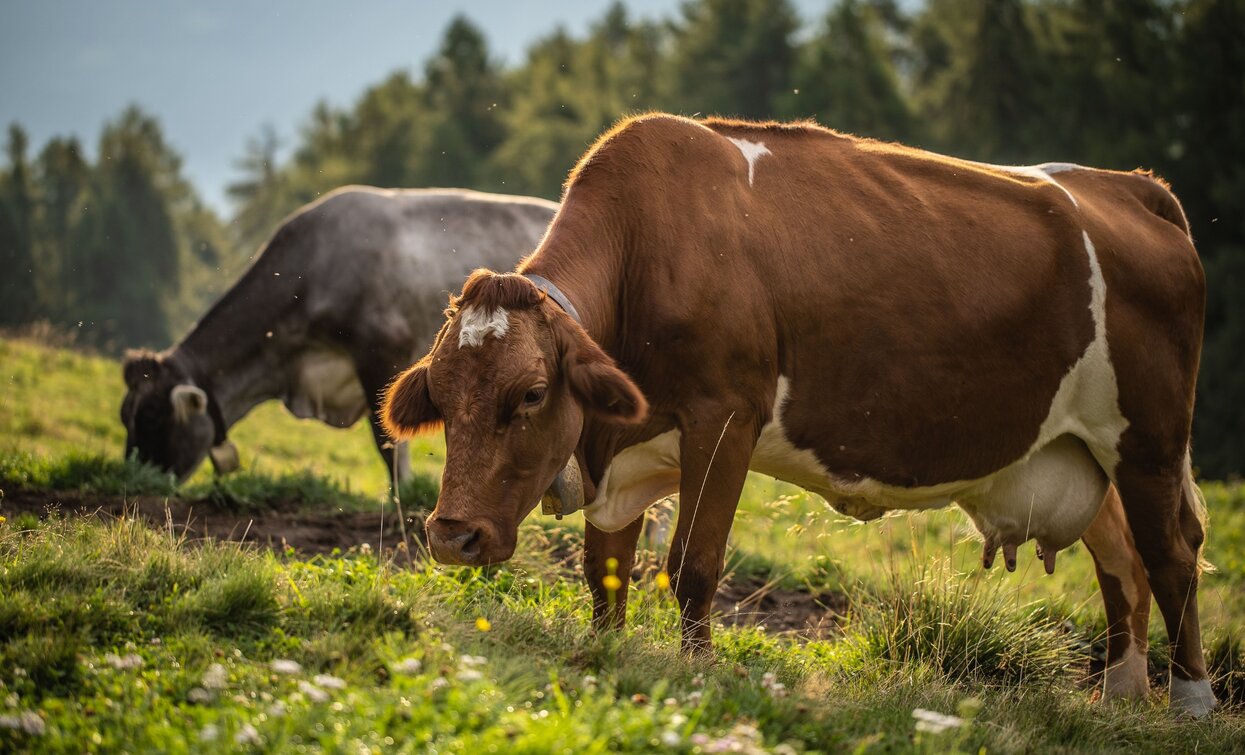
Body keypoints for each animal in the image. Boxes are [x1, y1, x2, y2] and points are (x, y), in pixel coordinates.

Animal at [121, 186, 560, 488]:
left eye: (152, 416)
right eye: (125, 415)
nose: (134, 479)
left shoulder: (383, 353)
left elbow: (388, 443)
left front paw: (403, 501)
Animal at [380, 115, 1215, 717]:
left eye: (527, 394)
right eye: (442, 396)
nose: (451, 536)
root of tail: (1129, 186)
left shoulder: (725, 417)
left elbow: (692, 563)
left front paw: (698, 671)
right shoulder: (621, 452)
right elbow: (605, 570)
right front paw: (605, 654)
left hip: (1148, 438)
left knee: (1171, 551)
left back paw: (1190, 702)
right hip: (1082, 450)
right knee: (1121, 559)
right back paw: (1118, 696)